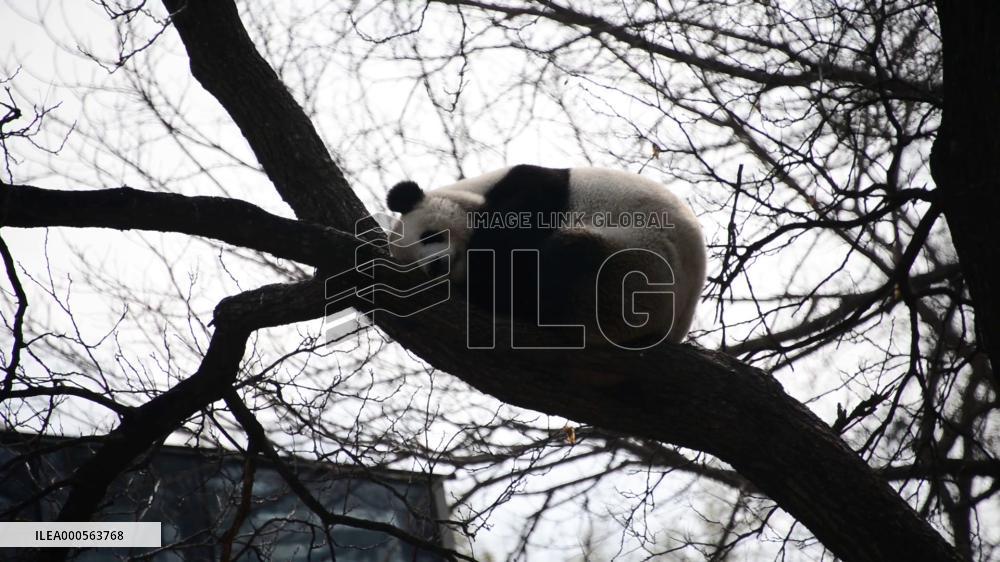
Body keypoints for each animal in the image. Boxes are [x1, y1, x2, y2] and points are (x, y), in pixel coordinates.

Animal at [385, 164, 706, 348]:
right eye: (414, 264)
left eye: (429, 236)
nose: (434, 267)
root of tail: (671, 326)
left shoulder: (532, 187)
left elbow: (512, 236)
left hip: (635, 266)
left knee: (563, 259)